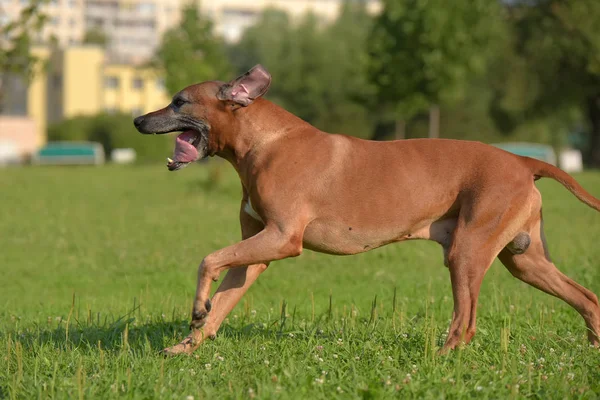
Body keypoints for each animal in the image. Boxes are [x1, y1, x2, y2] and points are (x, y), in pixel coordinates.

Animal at [135, 65, 600, 356]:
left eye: (178, 102)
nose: (138, 121)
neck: (264, 141)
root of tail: (522, 161)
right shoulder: (257, 249)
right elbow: (224, 299)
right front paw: (189, 343)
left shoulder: (281, 238)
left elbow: (208, 259)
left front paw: (197, 307)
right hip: (524, 258)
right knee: (586, 295)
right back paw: (594, 340)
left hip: (467, 252)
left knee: (465, 320)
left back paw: (441, 356)